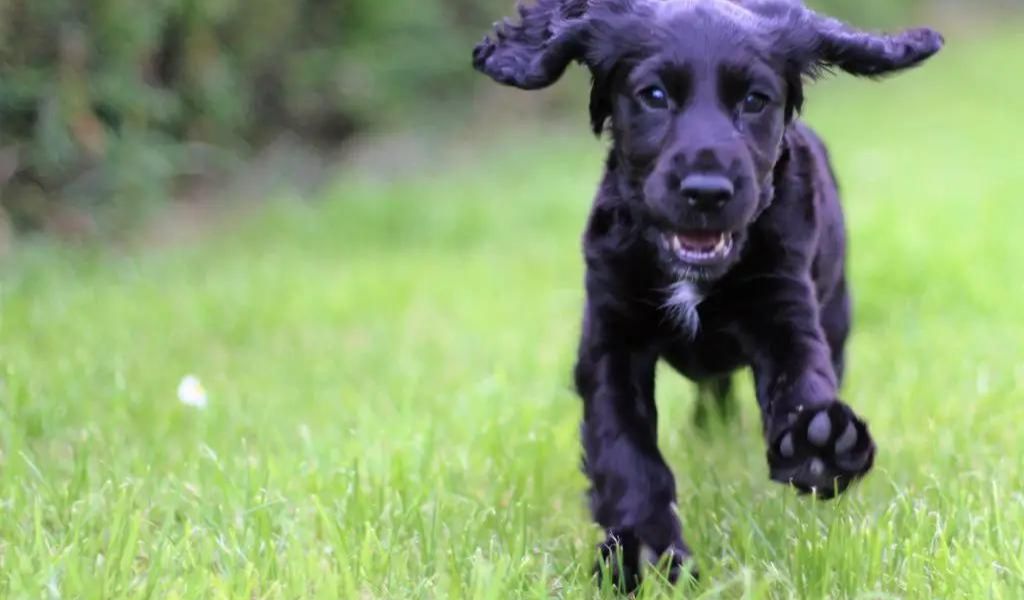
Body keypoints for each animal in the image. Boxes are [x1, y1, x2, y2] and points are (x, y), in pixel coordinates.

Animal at [471, 0, 942, 589]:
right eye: (653, 96)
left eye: (755, 100)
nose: (707, 192)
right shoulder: (610, 336)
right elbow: (625, 451)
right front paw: (645, 555)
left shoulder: (783, 303)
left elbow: (800, 377)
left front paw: (819, 444)